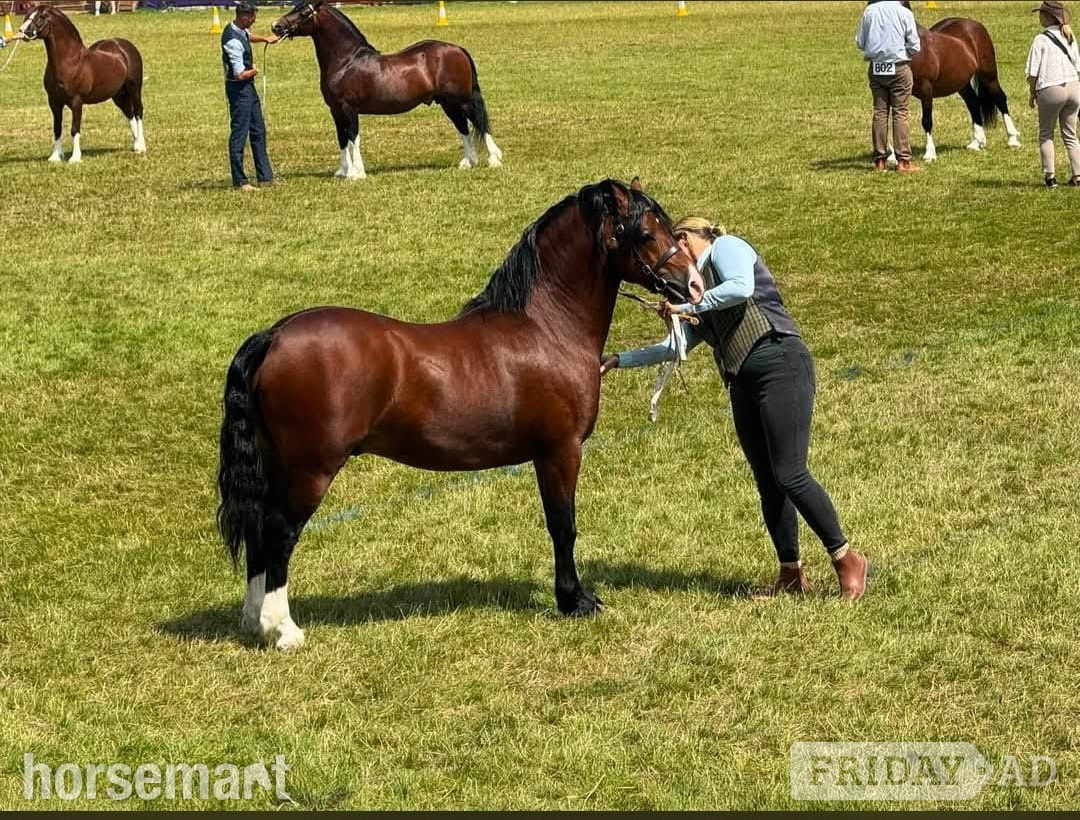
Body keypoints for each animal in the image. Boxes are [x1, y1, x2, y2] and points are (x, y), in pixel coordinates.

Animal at [12, 5, 144, 163]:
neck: (70, 61)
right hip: (118, 95)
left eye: (41, 17)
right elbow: (57, 128)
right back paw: (136, 145)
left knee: (138, 112)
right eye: (27, 15)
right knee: (129, 114)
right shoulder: (54, 102)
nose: (22, 32)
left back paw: (141, 147)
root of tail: (125, 46)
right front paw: (55, 157)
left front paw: (75, 158)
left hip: (134, 89)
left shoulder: (76, 101)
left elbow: (74, 129)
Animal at [216, 178, 705, 650]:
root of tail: (274, 336)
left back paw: (254, 622)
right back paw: (283, 631)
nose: (695, 286)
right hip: (310, 470)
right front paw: (575, 601)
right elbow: (563, 526)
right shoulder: (560, 452)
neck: (546, 327)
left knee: (259, 531)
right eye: (646, 233)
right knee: (279, 533)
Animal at [270, 0, 502, 179]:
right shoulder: (335, 110)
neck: (347, 61)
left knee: (480, 123)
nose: (276, 26)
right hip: (447, 103)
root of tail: (456, 49)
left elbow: (353, 138)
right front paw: (342, 171)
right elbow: (342, 139)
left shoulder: (348, 108)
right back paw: (467, 162)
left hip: (463, 100)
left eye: (303, 12)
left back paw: (493, 160)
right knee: (463, 127)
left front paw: (357, 173)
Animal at [898, 3, 1020, 162]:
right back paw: (977, 142)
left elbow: (926, 120)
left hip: (989, 76)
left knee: (1000, 98)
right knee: (973, 103)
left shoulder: (926, 89)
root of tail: (973, 24)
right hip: (962, 84)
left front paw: (930, 154)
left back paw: (1012, 140)